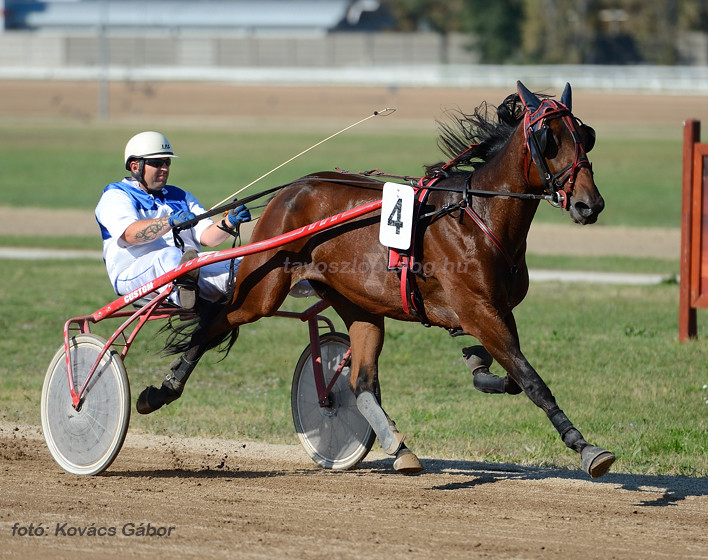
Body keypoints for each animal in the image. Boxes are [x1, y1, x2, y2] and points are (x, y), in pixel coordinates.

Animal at [141, 81, 616, 480]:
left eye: (585, 133)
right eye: (548, 138)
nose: (589, 204)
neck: (477, 215)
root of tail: (294, 187)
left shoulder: (499, 311)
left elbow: (515, 376)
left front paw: (477, 364)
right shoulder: (478, 310)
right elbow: (532, 381)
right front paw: (586, 447)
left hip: (360, 304)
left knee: (360, 382)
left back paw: (398, 446)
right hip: (263, 287)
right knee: (216, 320)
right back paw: (161, 390)